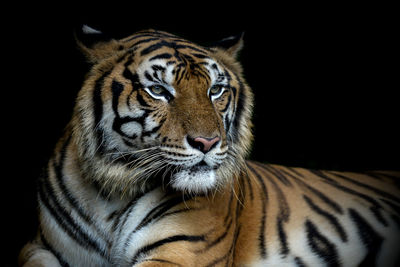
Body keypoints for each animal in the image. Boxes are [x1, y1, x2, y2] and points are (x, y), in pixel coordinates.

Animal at [18, 25, 400, 267]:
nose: (207, 142)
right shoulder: (39, 247)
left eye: (215, 90)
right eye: (158, 90)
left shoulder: (181, 251)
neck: (110, 193)